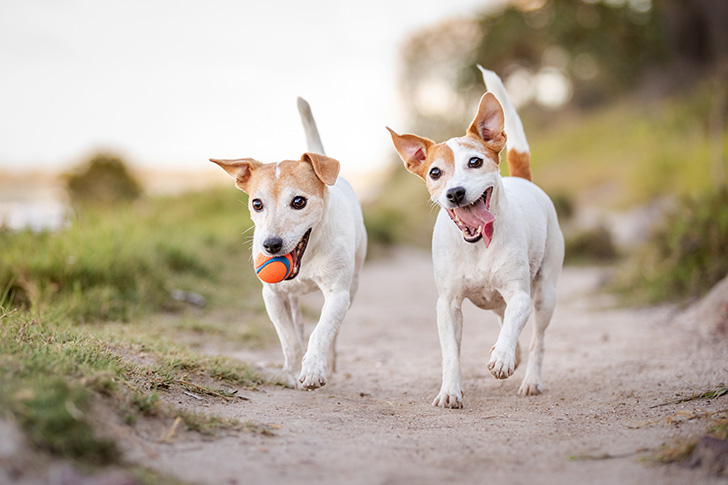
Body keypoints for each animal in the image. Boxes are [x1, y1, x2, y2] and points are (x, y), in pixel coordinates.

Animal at [212, 97, 370, 390]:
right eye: (257, 204)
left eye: (299, 201)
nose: (271, 245)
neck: (306, 259)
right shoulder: (272, 296)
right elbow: (287, 338)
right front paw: (293, 370)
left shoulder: (338, 294)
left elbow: (322, 331)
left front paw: (313, 369)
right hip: (292, 297)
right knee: (297, 323)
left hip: (353, 283)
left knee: (334, 333)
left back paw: (330, 362)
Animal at [386, 67, 564, 408]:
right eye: (435, 172)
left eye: (475, 162)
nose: (456, 193)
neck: (477, 245)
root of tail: (524, 181)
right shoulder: (448, 305)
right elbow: (451, 354)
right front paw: (450, 391)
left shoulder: (520, 295)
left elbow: (515, 326)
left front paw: (503, 358)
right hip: (493, 301)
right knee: (504, 319)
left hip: (544, 294)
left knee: (536, 339)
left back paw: (529, 378)